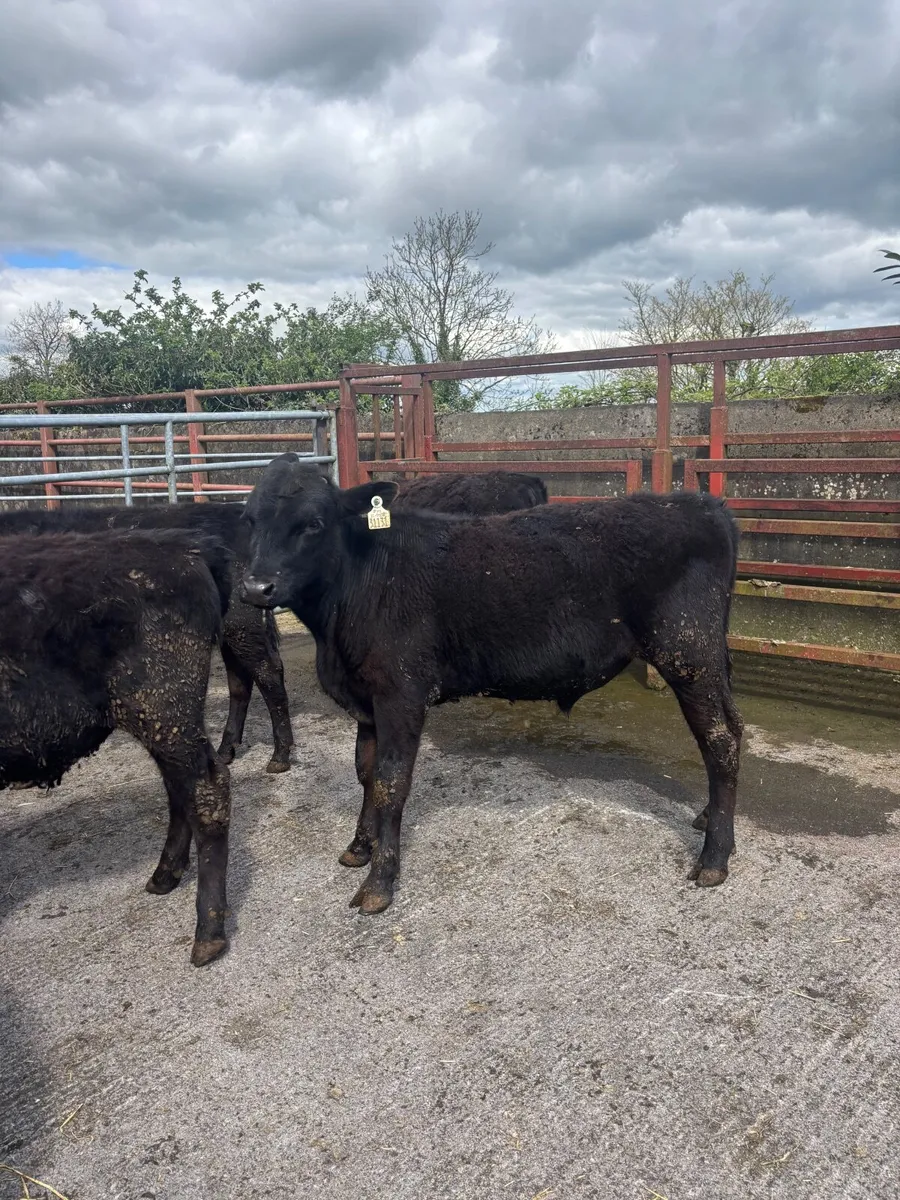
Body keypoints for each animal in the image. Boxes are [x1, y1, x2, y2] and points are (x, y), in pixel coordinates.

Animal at [0, 529, 233, 966]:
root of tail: (185, 553)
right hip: (162, 724)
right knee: (180, 789)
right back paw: (162, 878)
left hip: (164, 712)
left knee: (206, 790)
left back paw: (208, 935)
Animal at [240, 455, 744, 917]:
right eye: (249, 519)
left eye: (314, 523)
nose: (256, 587)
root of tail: (704, 505)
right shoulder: (366, 697)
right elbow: (366, 772)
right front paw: (359, 846)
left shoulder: (401, 694)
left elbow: (391, 781)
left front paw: (379, 881)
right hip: (706, 657)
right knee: (732, 728)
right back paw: (708, 819)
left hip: (688, 652)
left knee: (719, 739)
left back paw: (714, 858)